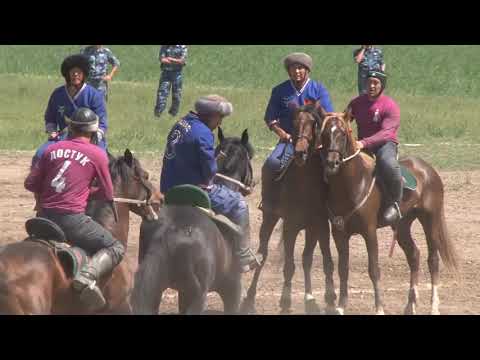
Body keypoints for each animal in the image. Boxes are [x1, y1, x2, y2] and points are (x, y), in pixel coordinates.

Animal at [129, 128, 256, 314]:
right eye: (250, 156)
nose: (252, 184)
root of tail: (170, 229)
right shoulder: (232, 288)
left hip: (157, 288)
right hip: (197, 295)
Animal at [240, 102, 338, 314]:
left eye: (313, 123)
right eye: (294, 123)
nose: (300, 152)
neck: (305, 185)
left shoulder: (320, 226)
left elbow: (325, 262)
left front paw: (330, 299)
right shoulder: (290, 226)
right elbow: (289, 266)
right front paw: (285, 300)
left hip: (310, 230)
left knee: (307, 258)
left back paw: (309, 298)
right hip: (270, 219)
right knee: (262, 255)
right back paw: (250, 298)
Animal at [314, 109, 460, 316]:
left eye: (342, 133)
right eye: (325, 133)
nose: (332, 162)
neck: (352, 184)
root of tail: (427, 169)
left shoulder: (369, 231)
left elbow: (374, 270)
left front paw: (379, 309)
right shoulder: (339, 233)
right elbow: (343, 268)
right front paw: (341, 307)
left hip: (430, 220)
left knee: (433, 260)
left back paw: (434, 307)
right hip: (403, 224)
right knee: (414, 255)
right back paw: (410, 305)